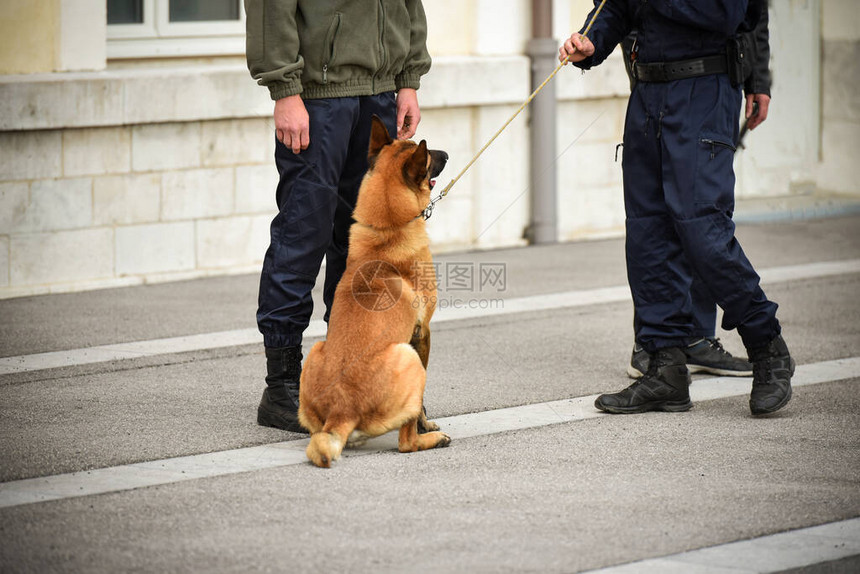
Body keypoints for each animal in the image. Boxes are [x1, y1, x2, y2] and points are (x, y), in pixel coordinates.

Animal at [298, 116, 450, 468]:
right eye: (427, 158)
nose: (447, 154)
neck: (388, 230)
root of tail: (342, 411)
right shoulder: (422, 333)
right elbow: (420, 407)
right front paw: (426, 424)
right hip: (407, 356)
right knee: (407, 443)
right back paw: (431, 440)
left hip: (315, 350)